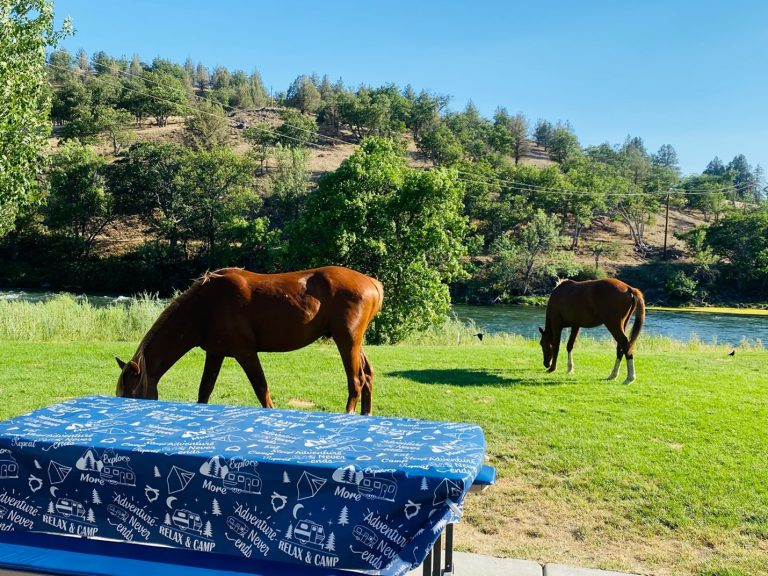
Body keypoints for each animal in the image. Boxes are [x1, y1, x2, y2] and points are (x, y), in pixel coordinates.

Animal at [116, 266, 384, 415]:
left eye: (131, 395)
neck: (205, 305)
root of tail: (373, 282)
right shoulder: (215, 353)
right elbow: (204, 391)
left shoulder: (245, 353)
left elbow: (261, 390)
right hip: (354, 342)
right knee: (368, 375)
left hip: (346, 341)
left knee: (356, 381)